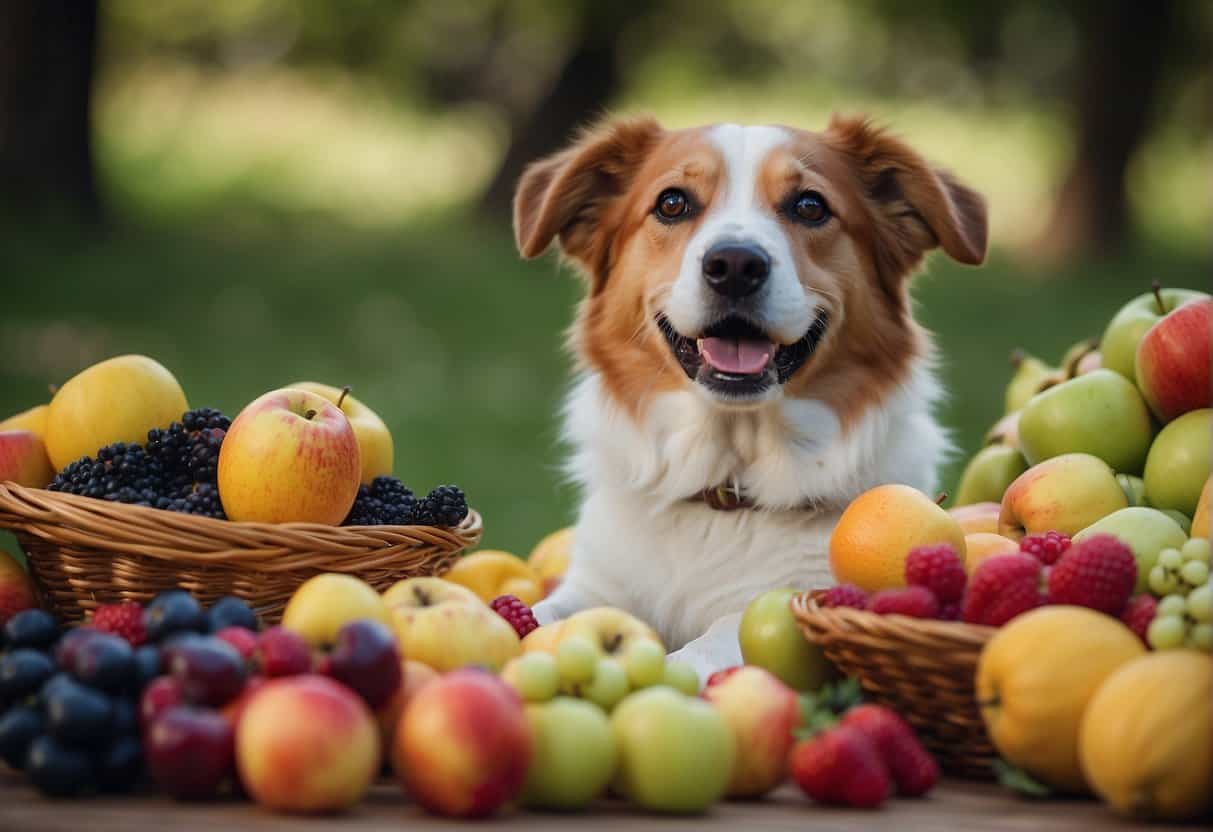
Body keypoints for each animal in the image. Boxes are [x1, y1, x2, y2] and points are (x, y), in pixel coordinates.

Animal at [511, 115, 984, 679]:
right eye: (672, 203)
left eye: (810, 206)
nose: (735, 264)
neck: (725, 482)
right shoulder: (595, 586)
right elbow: (534, 613)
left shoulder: (800, 594)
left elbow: (712, 641)